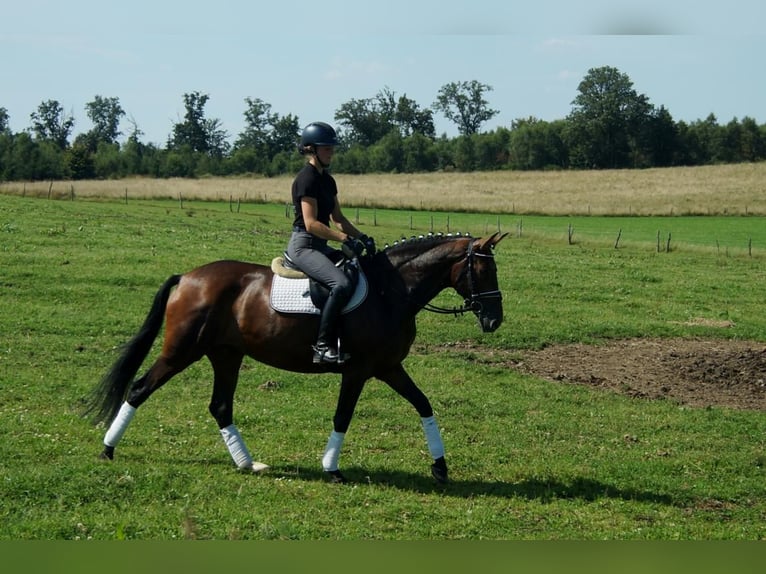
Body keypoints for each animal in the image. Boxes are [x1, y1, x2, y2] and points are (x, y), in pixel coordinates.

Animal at [87, 232, 510, 484]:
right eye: (483, 269)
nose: (494, 320)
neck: (390, 292)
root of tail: (188, 277)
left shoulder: (389, 367)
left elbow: (424, 405)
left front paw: (440, 466)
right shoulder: (357, 371)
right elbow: (342, 417)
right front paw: (332, 469)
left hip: (226, 355)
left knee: (220, 406)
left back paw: (247, 463)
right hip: (181, 351)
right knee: (139, 388)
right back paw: (107, 449)